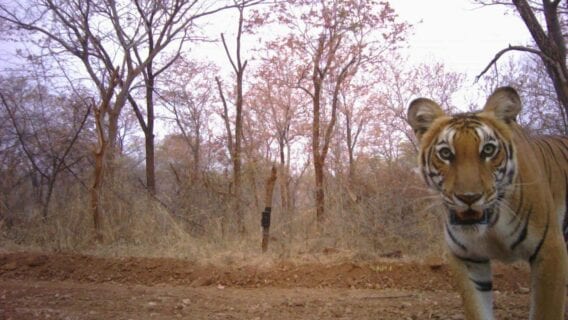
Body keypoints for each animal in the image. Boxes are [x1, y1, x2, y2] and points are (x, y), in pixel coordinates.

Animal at [408, 86, 568, 318]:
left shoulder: (550, 249)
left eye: (488, 150)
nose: (469, 197)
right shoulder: (467, 260)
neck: (493, 225)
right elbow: (477, 310)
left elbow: (546, 311)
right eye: (445, 153)